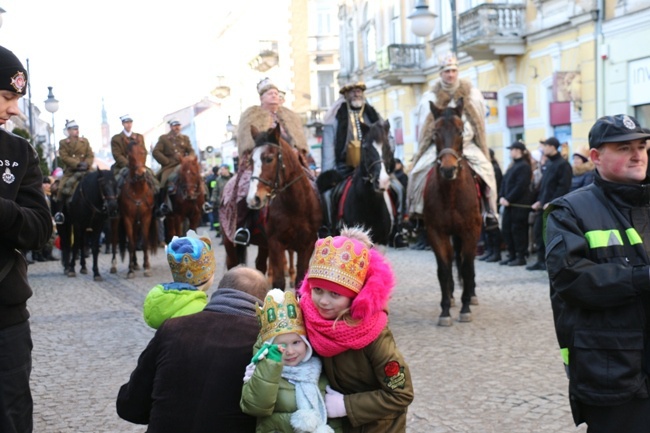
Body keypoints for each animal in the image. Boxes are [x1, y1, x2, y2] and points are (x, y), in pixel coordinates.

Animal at [110, 140, 158, 278]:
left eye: (144, 152)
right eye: (129, 155)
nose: (141, 174)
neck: (138, 190)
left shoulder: (146, 217)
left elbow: (144, 242)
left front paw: (146, 268)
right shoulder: (127, 218)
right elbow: (130, 244)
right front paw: (130, 270)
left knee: (136, 237)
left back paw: (136, 263)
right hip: (115, 219)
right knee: (114, 240)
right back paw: (114, 265)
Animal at [223, 123, 322, 288]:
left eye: (269, 159)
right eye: (251, 161)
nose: (253, 199)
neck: (295, 208)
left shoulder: (306, 245)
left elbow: (300, 280)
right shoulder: (276, 244)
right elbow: (279, 282)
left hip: (263, 245)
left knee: (260, 265)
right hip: (230, 243)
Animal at [420, 98, 480, 326]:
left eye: (461, 131)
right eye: (435, 133)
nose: (448, 169)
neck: (451, 194)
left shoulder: (471, 231)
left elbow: (467, 266)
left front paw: (466, 307)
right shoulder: (436, 232)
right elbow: (444, 269)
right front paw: (445, 309)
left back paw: (471, 295)